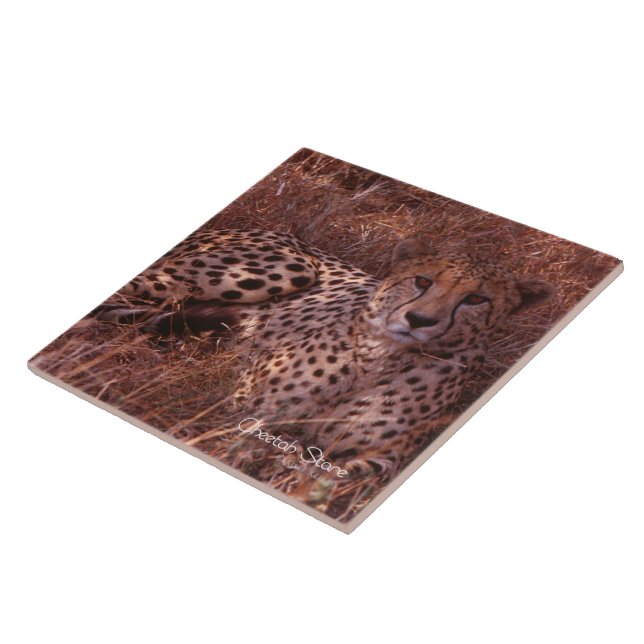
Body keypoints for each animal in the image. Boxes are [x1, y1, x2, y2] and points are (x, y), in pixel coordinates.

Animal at [95, 228, 554, 476]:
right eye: (422, 281)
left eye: (476, 299)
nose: (420, 320)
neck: (380, 360)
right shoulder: (243, 404)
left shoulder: (384, 460)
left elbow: (336, 469)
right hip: (286, 269)